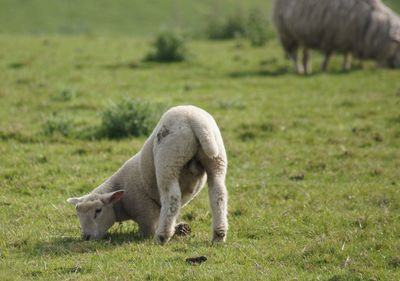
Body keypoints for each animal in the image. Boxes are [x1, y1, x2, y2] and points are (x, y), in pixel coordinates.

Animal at [67, 104, 227, 243]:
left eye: (98, 211)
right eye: (77, 213)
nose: (86, 237)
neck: (121, 203)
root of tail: (195, 120)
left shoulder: (145, 210)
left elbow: (148, 230)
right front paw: (180, 229)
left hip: (168, 159)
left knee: (172, 198)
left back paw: (162, 236)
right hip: (217, 158)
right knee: (218, 193)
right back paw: (219, 235)